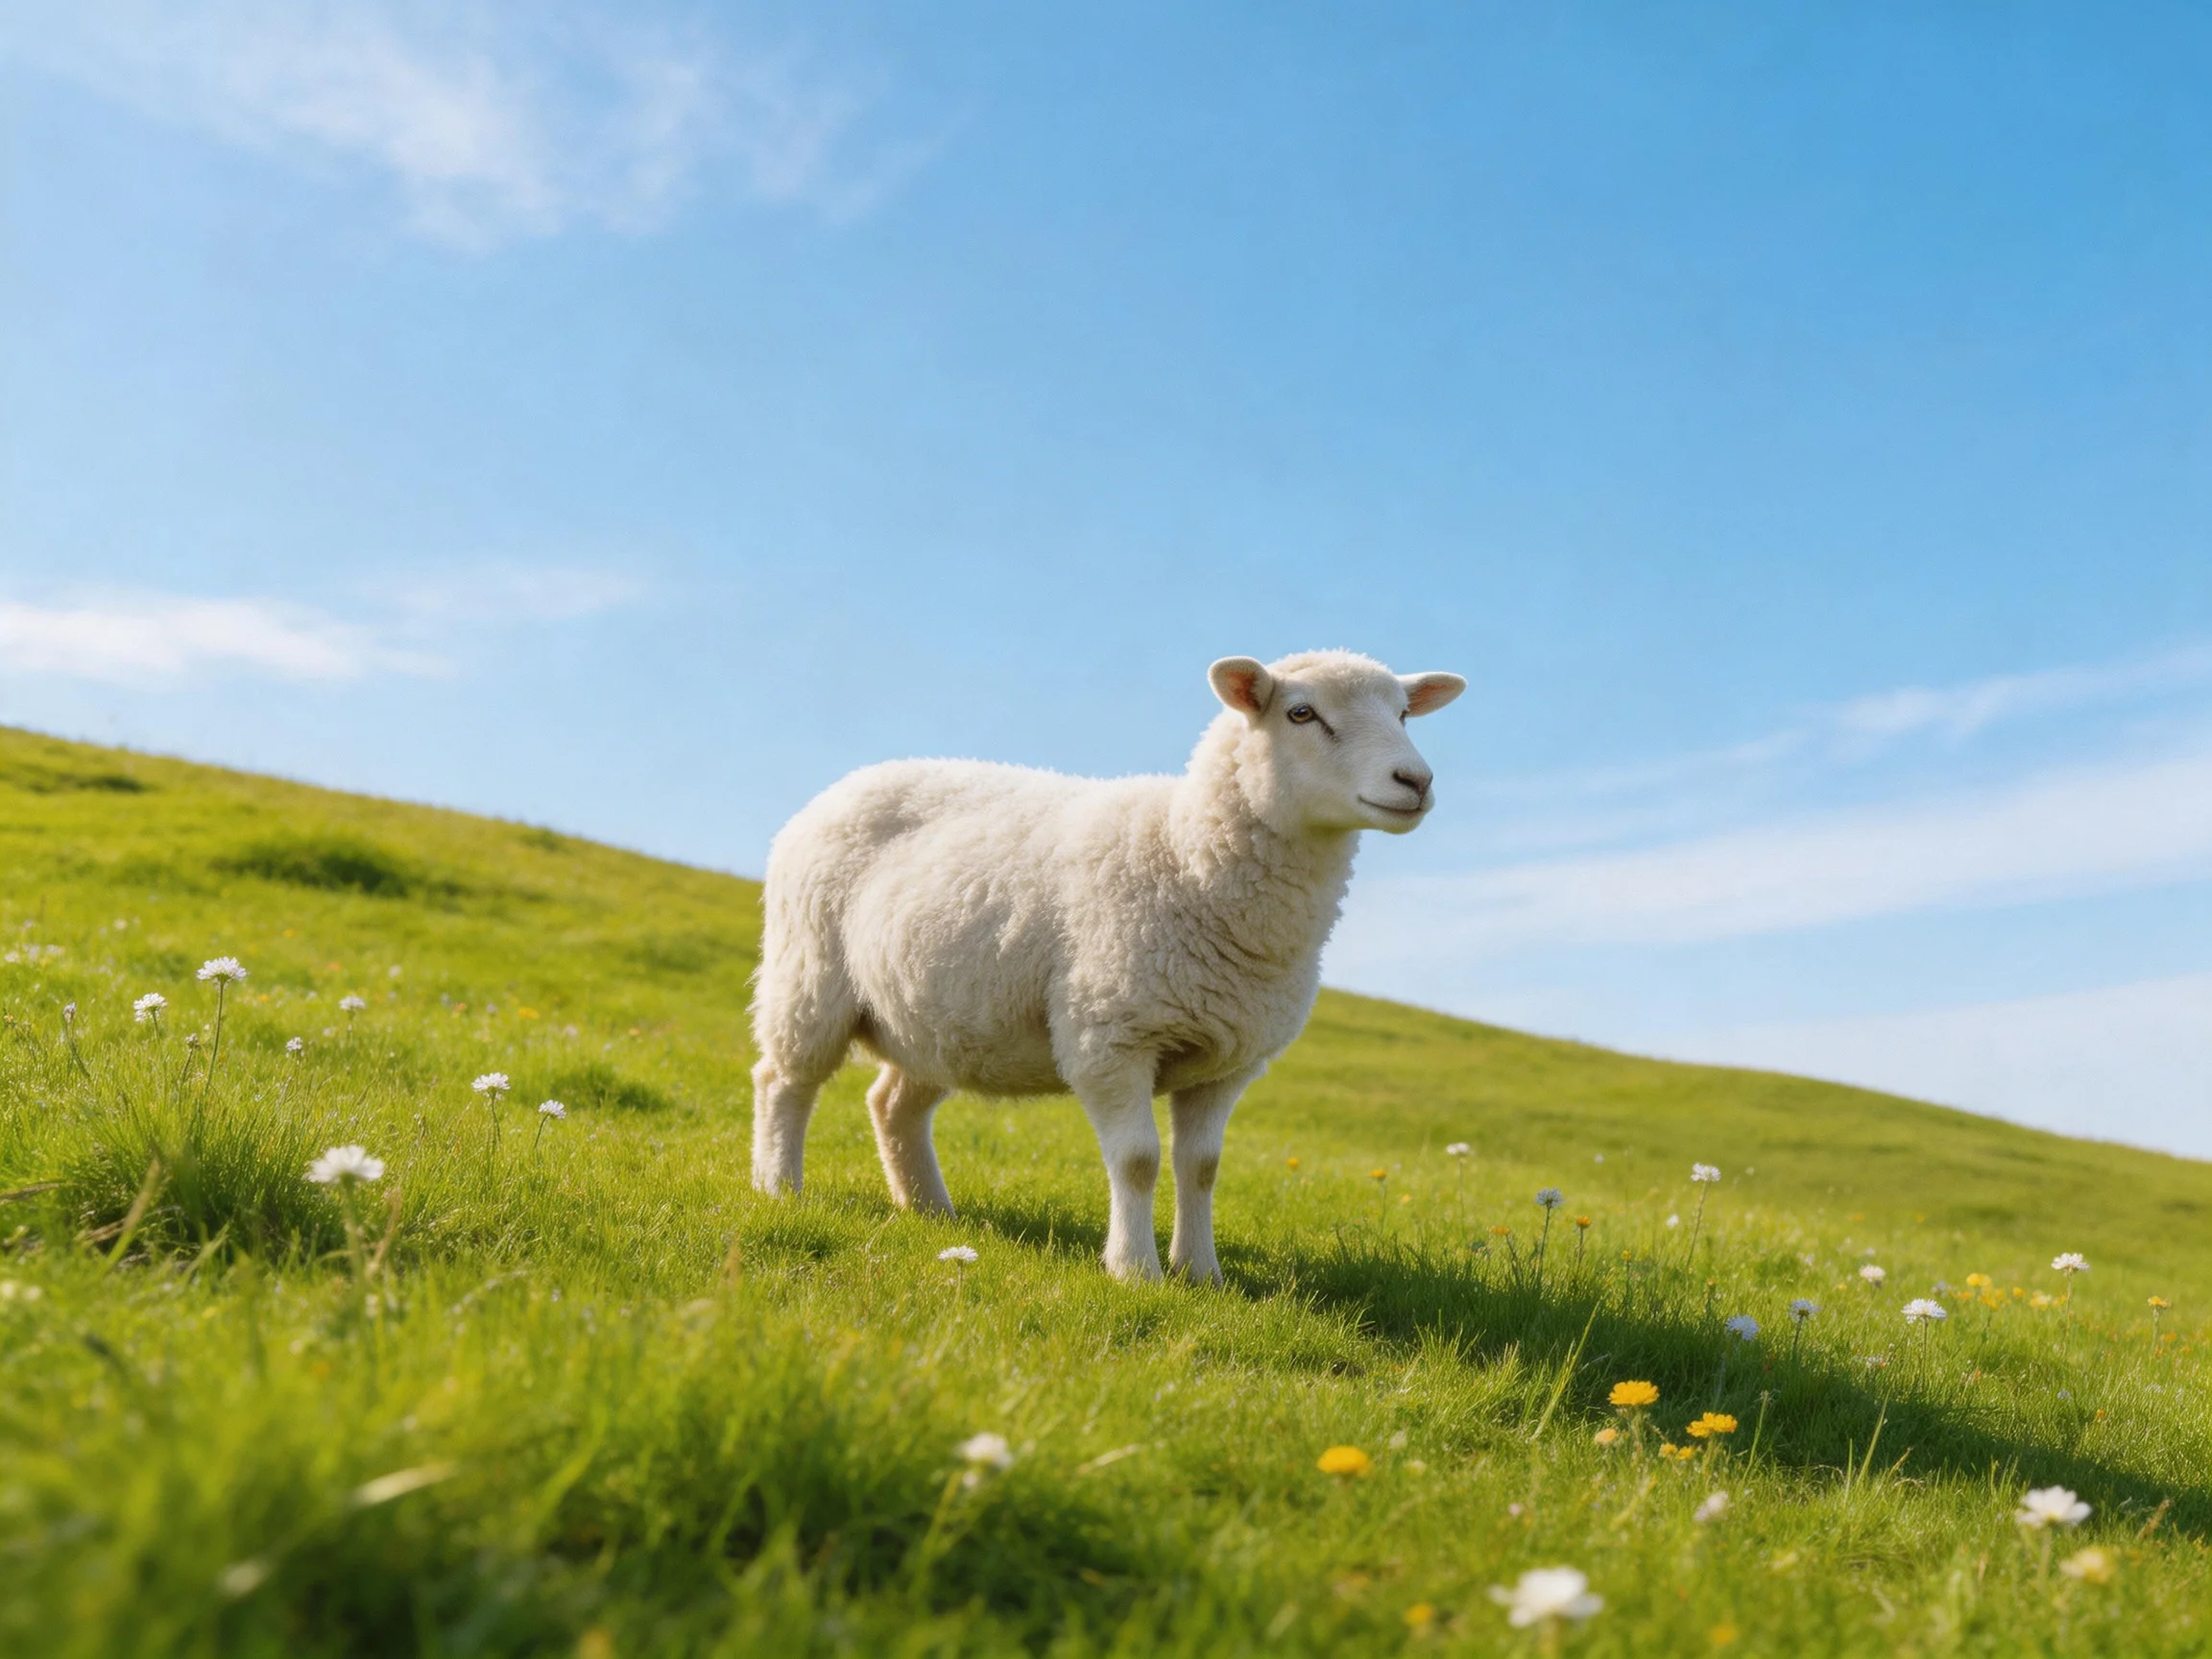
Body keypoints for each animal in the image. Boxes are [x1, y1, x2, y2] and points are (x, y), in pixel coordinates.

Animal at [749, 649, 1466, 1281]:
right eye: (1301, 713)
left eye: (1405, 714)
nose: (1416, 781)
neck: (1185, 851)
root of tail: (845, 785)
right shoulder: (1111, 1035)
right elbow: (1139, 1160)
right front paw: (1134, 1270)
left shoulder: (1228, 1059)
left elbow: (1202, 1166)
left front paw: (1201, 1272)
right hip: (808, 974)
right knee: (783, 1081)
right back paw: (779, 1188)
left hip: (945, 1019)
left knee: (892, 1103)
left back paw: (931, 1212)